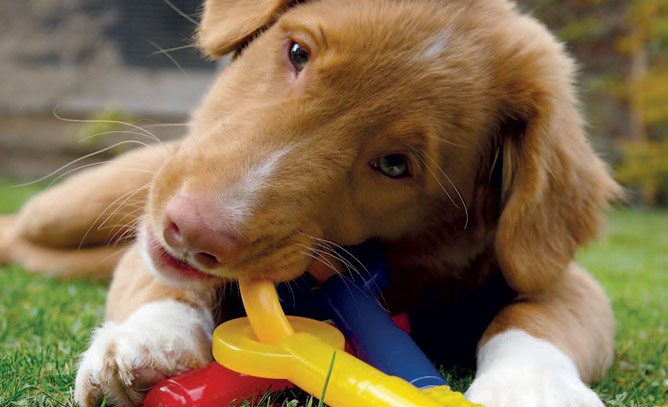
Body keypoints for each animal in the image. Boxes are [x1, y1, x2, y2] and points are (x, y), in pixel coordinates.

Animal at [2, 0, 624, 406]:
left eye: (394, 165)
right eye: (297, 52)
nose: (192, 232)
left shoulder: (556, 274)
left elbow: (537, 314)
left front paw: (533, 388)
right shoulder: (153, 240)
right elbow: (162, 281)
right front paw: (150, 345)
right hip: (83, 204)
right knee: (20, 226)